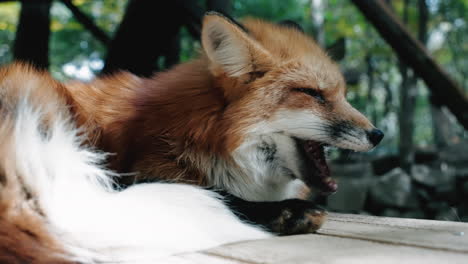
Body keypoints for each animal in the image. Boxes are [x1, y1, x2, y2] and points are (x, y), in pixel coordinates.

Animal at [0, 11, 384, 262]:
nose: (378, 134)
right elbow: (214, 192)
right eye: (314, 94)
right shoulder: (143, 168)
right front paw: (283, 211)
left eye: (343, 94)